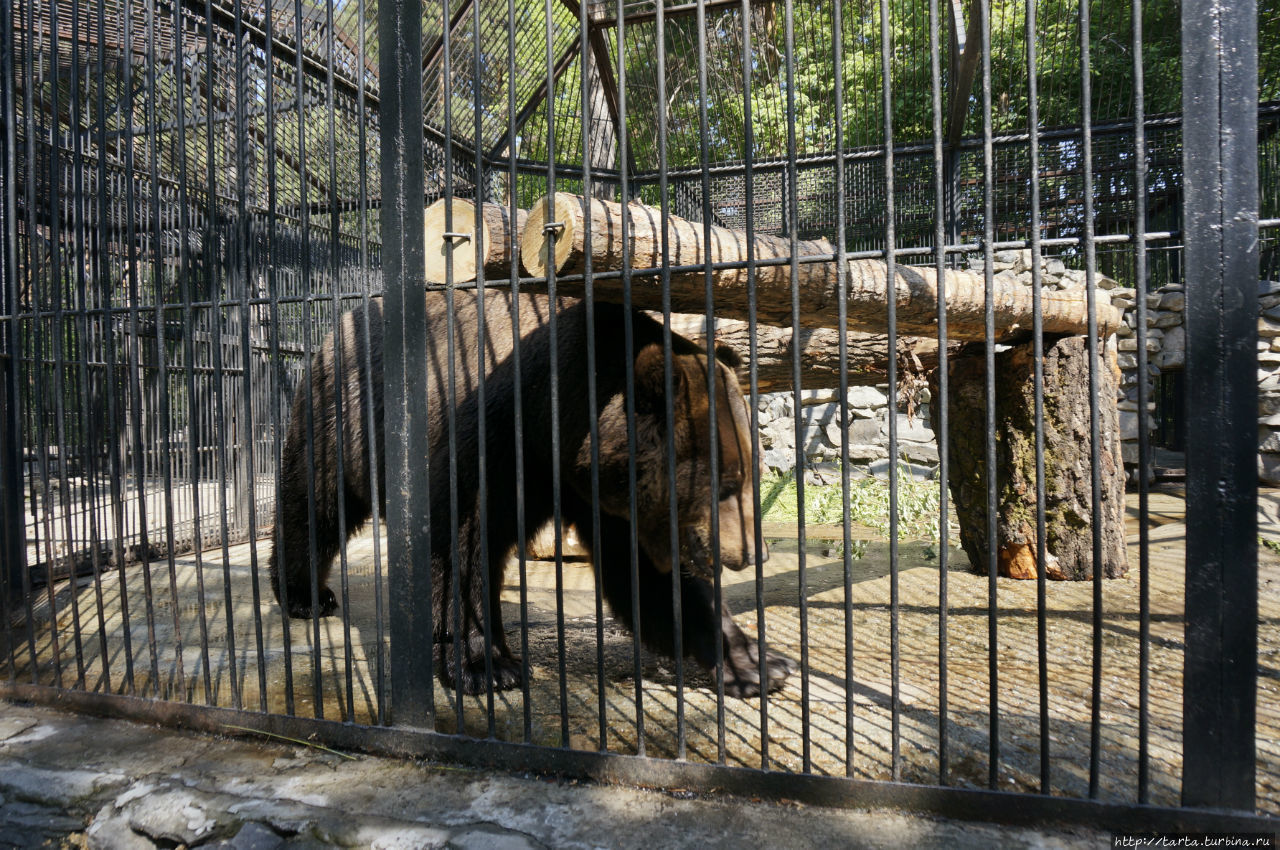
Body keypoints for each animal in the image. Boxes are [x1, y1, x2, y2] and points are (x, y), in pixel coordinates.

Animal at [267, 291, 788, 696]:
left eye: (753, 474)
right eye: (727, 482)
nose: (754, 553)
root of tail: (333, 331)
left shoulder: (602, 495)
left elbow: (646, 578)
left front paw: (757, 662)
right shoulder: (491, 439)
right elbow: (463, 549)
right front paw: (487, 666)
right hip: (342, 421)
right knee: (313, 502)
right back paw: (305, 594)